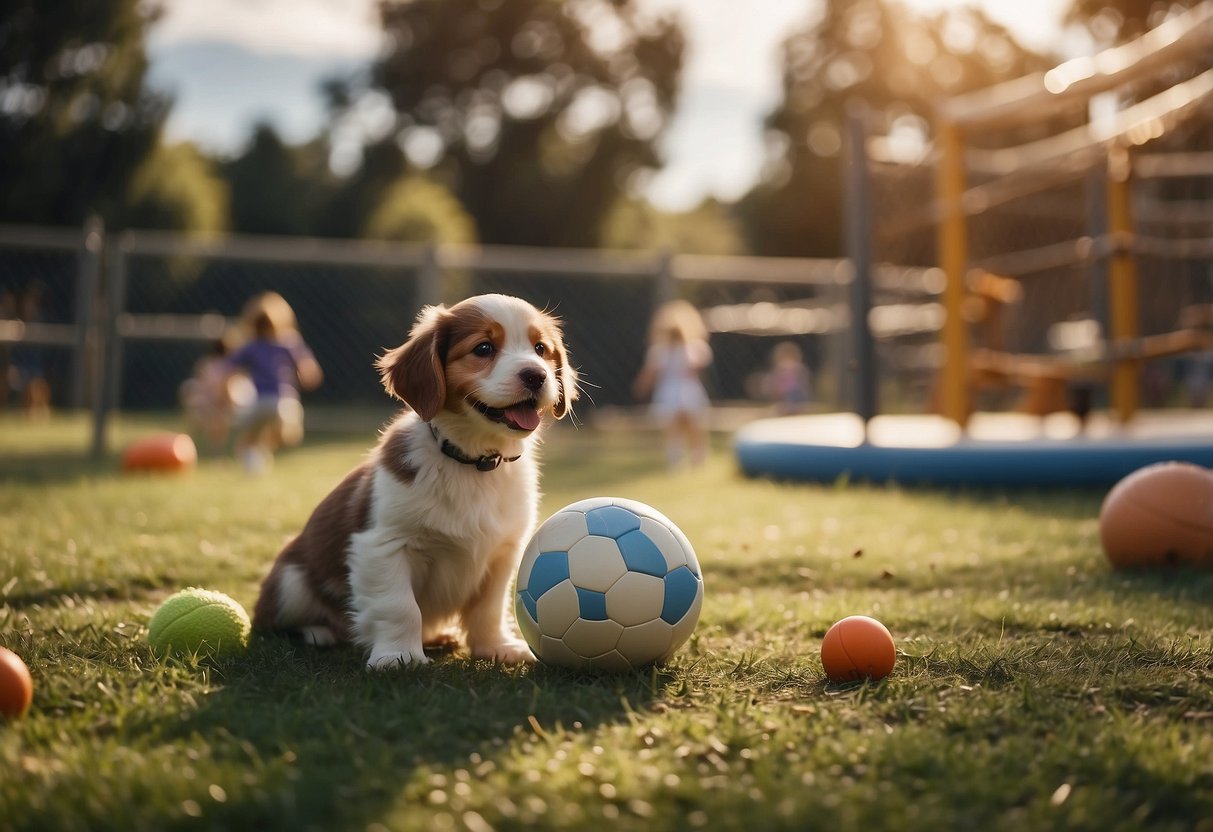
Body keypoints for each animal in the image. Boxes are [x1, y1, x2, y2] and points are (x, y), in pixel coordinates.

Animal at [251, 293, 577, 669]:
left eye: (540, 348)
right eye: (483, 348)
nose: (536, 376)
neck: (474, 462)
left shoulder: (502, 554)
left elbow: (489, 608)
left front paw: (496, 647)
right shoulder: (383, 544)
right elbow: (400, 606)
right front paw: (398, 656)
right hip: (289, 581)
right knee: (275, 621)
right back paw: (320, 632)